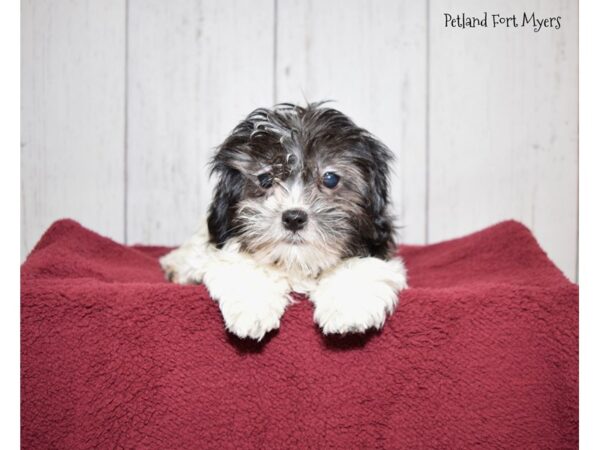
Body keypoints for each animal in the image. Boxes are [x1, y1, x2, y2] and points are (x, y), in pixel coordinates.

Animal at [161, 102, 408, 340]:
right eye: (265, 178)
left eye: (330, 178)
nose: (294, 218)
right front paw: (251, 307)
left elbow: (362, 265)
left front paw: (349, 308)